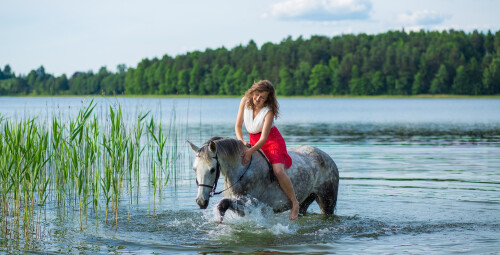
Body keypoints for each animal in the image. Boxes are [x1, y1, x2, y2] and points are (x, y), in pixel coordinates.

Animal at [188, 135, 340, 221]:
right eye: (194, 169)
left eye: (212, 169)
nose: (201, 201)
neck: (242, 170)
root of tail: (327, 157)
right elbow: (224, 205)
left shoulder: (252, 204)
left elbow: (223, 204)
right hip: (305, 201)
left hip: (327, 201)